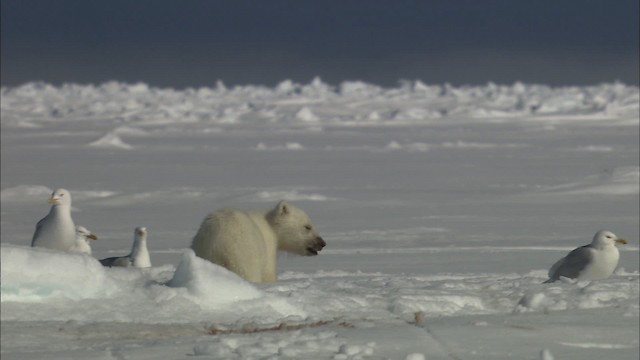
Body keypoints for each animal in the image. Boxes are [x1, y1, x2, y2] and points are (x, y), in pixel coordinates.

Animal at [190, 200, 324, 282]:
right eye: (307, 227)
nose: (322, 243)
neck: (270, 226)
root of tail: (219, 242)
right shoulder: (268, 247)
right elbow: (268, 273)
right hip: (245, 254)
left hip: (205, 253)